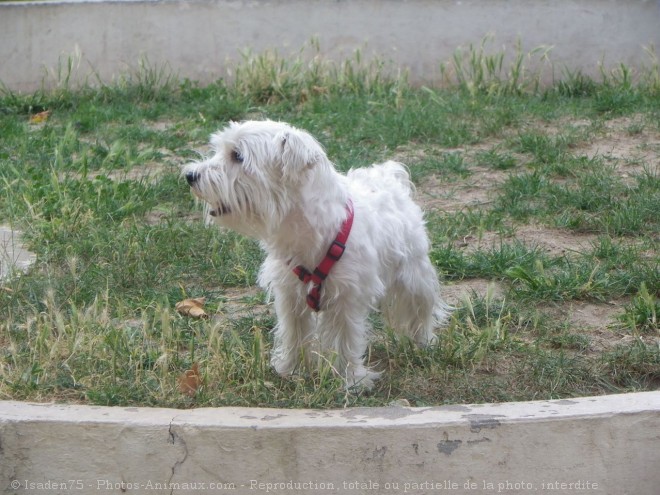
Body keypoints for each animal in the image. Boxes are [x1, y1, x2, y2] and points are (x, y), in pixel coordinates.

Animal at [183, 121, 446, 388]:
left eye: (237, 155)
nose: (190, 175)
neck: (304, 229)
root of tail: (390, 178)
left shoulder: (346, 295)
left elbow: (344, 338)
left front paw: (350, 380)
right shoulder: (290, 295)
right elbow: (294, 333)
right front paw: (291, 369)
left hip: (414, 275)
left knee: (420, 309)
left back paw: (423, 343)